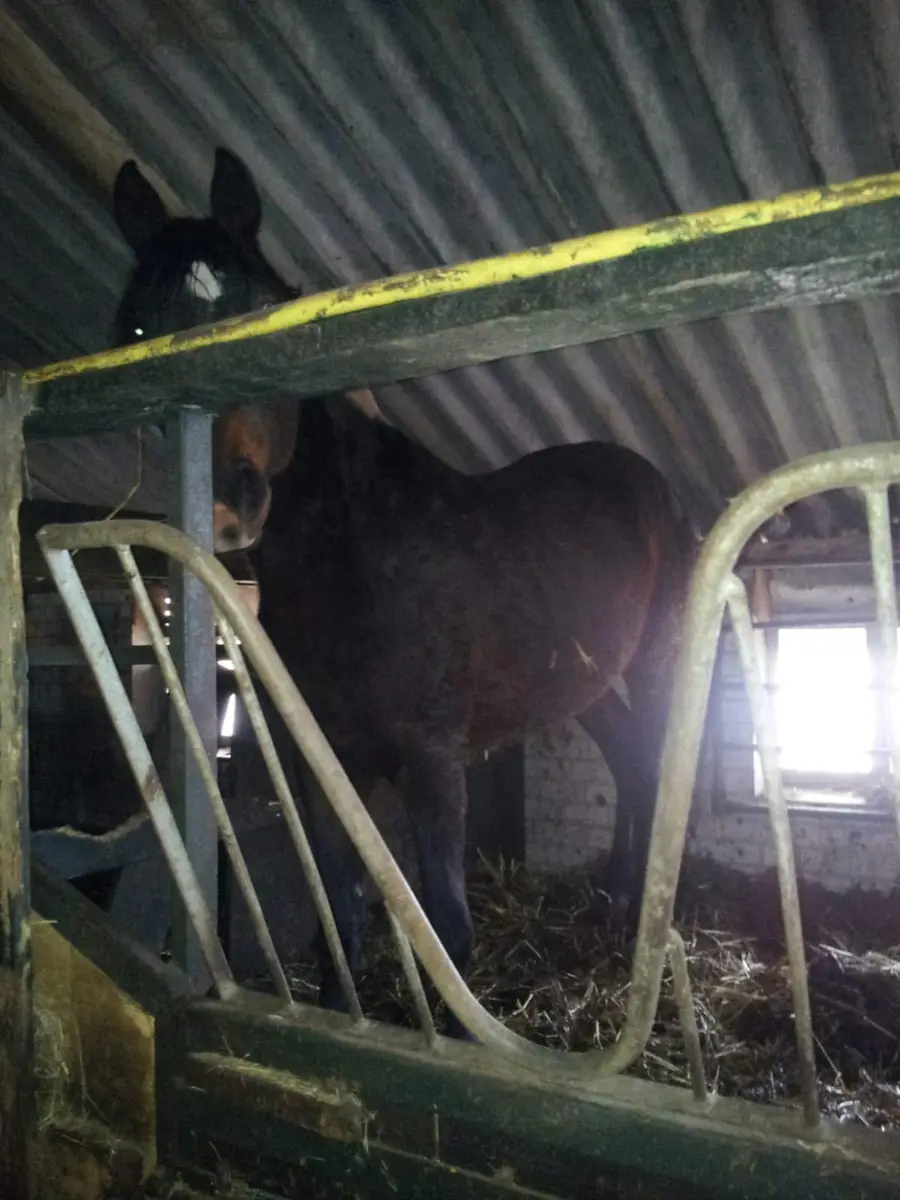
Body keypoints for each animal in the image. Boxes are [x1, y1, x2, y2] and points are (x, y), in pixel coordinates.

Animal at [113, 149, 697, 1040]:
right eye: (139, 330)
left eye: (258, 311)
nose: (224, 502)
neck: (359, 569)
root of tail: (650, 482)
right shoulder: (325, 764)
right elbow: (340, 910)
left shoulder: (432, 763)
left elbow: (448, 931)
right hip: (581, 682)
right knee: (631, 763)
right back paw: (613, 906)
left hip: (656, 663)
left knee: (655, 767)